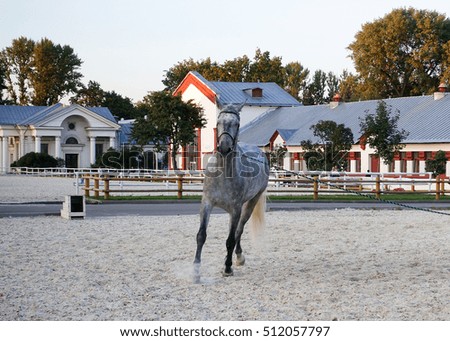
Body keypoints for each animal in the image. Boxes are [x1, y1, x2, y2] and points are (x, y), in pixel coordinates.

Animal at [192, 103, 268, 278]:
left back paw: (238, 258)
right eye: (218, 122)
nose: (224, 147)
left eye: (237, 124)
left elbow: (230, 240)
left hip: (250, 203)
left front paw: (227, 267)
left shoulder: (236, 209)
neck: (223, 174)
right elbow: (201, 236)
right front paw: (196, 271)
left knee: (238, 230)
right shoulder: (206, 203)